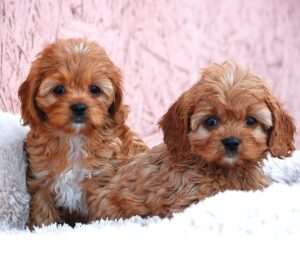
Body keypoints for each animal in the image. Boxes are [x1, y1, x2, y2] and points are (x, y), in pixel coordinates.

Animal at [18, 37, 147, 226]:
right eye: (58, 89)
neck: (75, 138)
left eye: (95, 89)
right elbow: (43, 214)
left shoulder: (103, 183)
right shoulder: (41, 182)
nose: (79, 107)